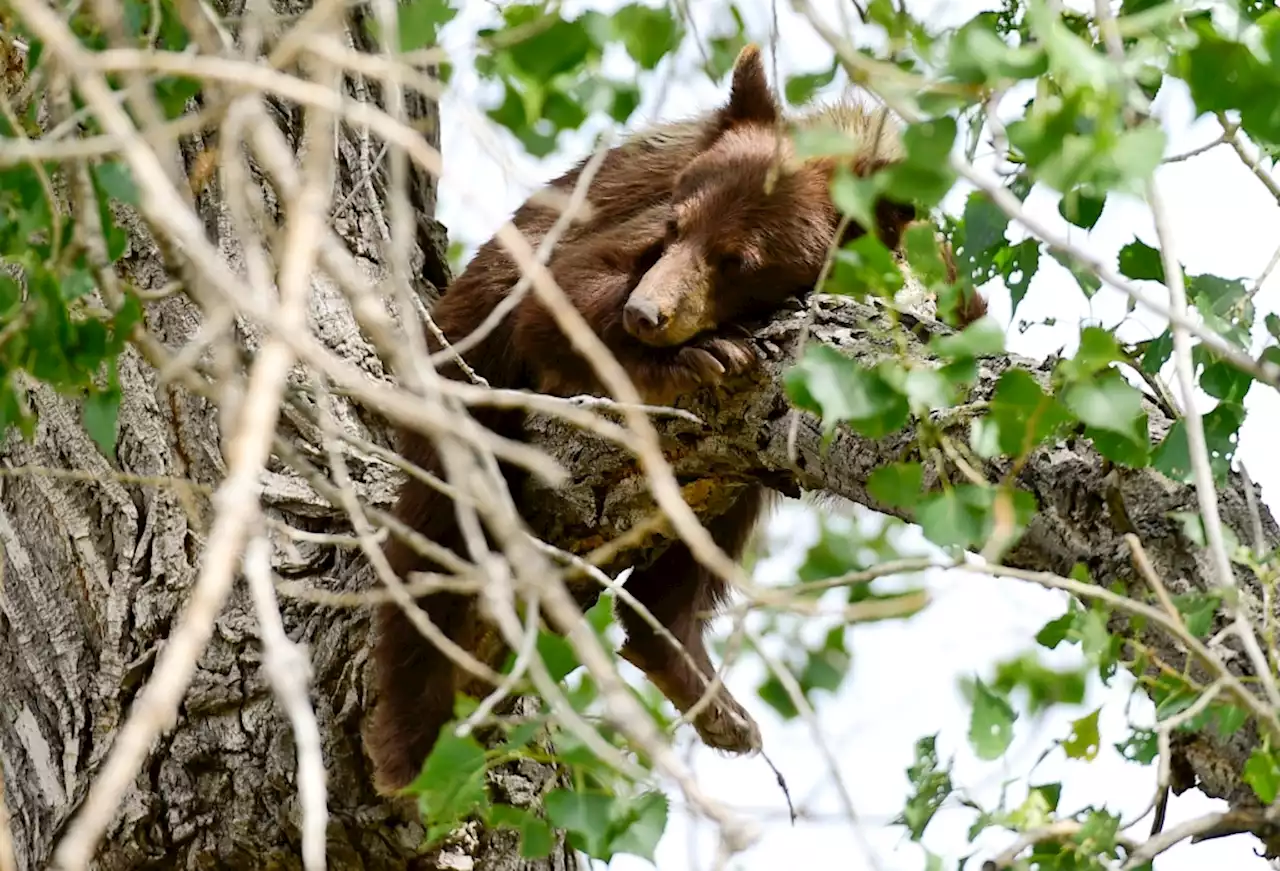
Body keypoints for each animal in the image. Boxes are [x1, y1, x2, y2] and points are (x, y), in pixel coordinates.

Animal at [368, 45, 988, 794]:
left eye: (740, 259)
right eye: (677, 225)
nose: (647, 313)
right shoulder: (631, 219)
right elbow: (558, 296)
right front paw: (697, 353)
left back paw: (694, 677)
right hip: (467, 370)